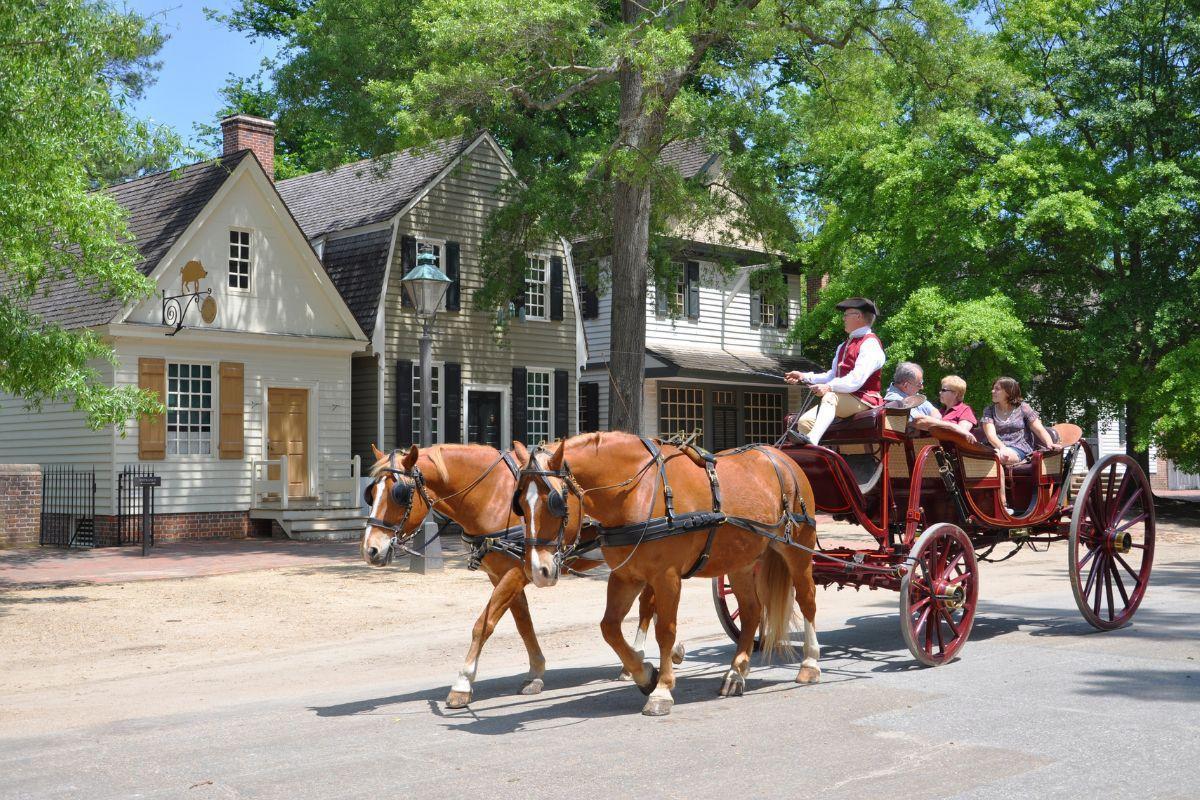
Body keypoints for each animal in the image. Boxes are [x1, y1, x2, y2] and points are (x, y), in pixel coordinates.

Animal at [360, 441, 672, 710]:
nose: (370, 549)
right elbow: (523, 622)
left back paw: (637, 659)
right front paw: (535, 672)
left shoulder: (514, 572)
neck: (490, 495)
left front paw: (462, 683)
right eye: (372, 494)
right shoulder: (502, 575)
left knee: (648, 606)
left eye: (399, 494)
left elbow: (483, 624)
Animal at [516, 434, 825, 714]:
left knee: (807, 601)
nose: (538, 570)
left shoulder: (666, 577)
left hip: (797, 550)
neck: (637, 492)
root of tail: (782, 458)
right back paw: (736, 674)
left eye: (555, 502)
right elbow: (609, 628)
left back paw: (810, 664)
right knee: (751, 612)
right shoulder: (626, 576)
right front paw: (644, 674)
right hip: (741, 562)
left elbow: (665, 630)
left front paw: (662, 689)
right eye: (519, 504)